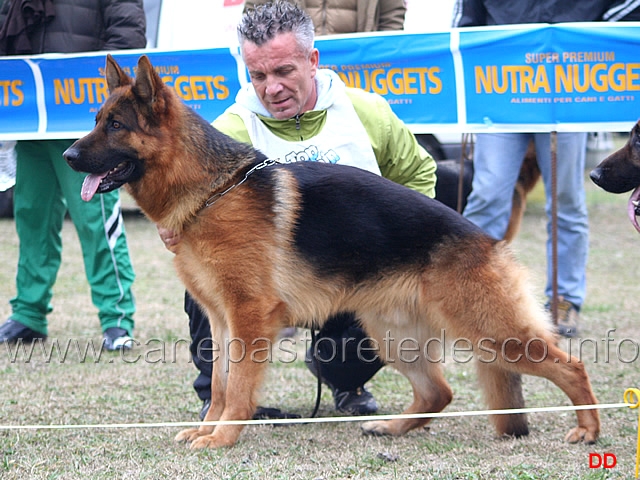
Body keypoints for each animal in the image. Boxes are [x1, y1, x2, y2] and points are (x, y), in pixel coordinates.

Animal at [62, 56, 596, 450]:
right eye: (96, 121)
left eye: (115, 125)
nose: (66, 156)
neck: (211, 190)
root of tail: (488, 241)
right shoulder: (220, 319)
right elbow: (218, 384)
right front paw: (207, 428)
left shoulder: (249, 317)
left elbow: (238, 388)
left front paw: (224, 437)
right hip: (392, 335)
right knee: (439, 391)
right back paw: (392, 428)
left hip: (491, 332)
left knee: (572, 366)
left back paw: (589, 429)